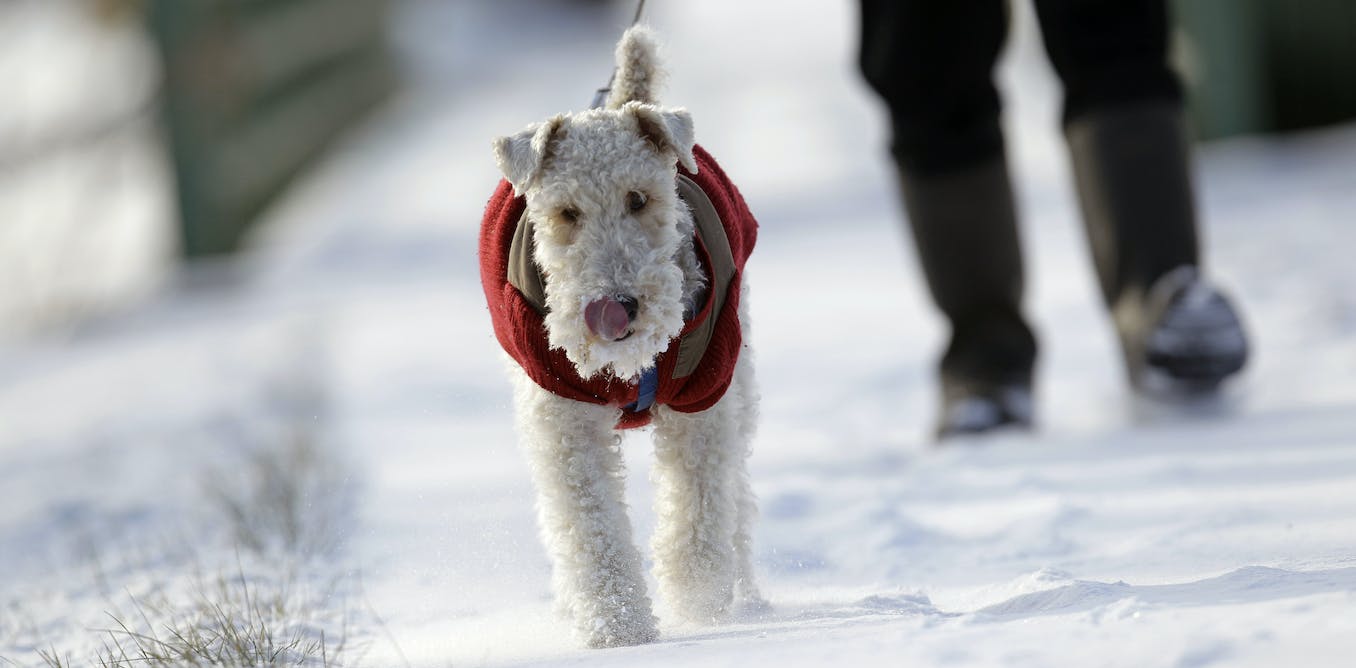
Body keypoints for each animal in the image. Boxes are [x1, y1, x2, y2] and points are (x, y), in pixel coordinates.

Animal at [482, 27, 764, 644]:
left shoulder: (703, 401)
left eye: (639, 198)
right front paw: (620, 630)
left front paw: (698, 610)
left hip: (740, 382)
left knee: (737, 499)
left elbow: (698, 510)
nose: (618, 306)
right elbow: (590, 530)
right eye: (566, 212)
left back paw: (748, 598)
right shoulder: (561, 422)